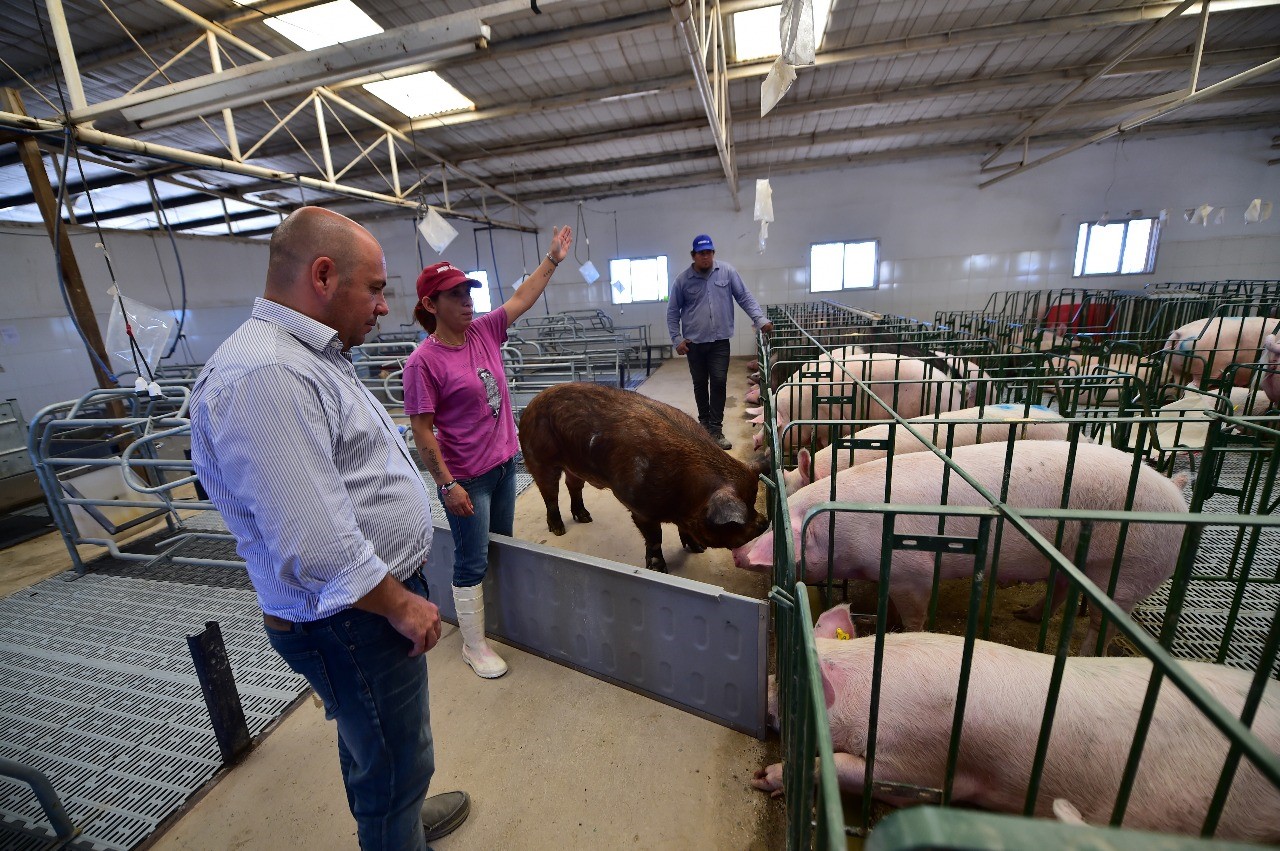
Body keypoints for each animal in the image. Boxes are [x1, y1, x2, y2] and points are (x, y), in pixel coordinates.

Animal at [737, 437, 1192, 650]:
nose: (740, 553)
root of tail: (1175, 491)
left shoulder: (913, 573)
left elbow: (916, 615)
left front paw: (903, 630)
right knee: (1062, 588)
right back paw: (1027, 615)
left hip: (1128, 572)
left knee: (1102, 626)